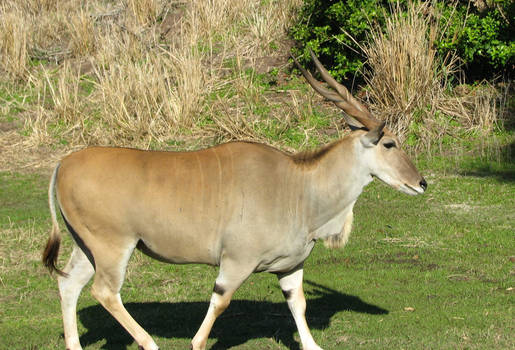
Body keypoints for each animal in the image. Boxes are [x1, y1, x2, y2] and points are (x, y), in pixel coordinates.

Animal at [42, 50, 428, 350]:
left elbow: (298, 305)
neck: (295, 186)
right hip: (114, 246)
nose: (421, 183)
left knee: (68, 284)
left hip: (87, 247)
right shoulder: (236, 261)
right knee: (104, 292)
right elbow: (218, 304)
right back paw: (149, 342)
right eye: (389, 143)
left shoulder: (290, 267)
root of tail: (63, 164)